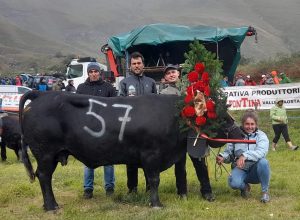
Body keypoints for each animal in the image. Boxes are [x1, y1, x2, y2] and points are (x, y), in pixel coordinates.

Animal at [19, 91, 243, 211]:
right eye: (220, 115)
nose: (241, 132)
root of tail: (42, 94)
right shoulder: (151, 155)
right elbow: (154, 179)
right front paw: (156, 204)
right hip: (45, 153)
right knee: (44, 176)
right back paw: (51, 206)